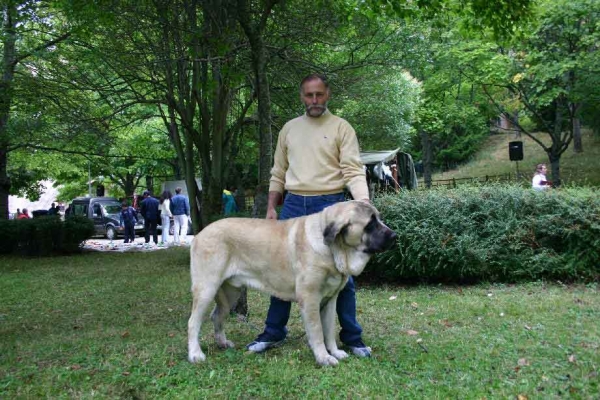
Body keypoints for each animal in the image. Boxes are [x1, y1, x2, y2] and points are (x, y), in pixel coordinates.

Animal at [185, 200, 396, 366]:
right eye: (370, 224)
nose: (394, 235)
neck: (333, 249)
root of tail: (200, 233)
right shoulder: (310, 299)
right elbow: (317, 331)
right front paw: (323, 357)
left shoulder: (329, 301)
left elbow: (329, 330)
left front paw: (335, 352)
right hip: (207, 288)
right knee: (193, 322)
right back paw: (195, 354)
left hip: (230, 293)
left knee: (217, 316)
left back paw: (222, 343)